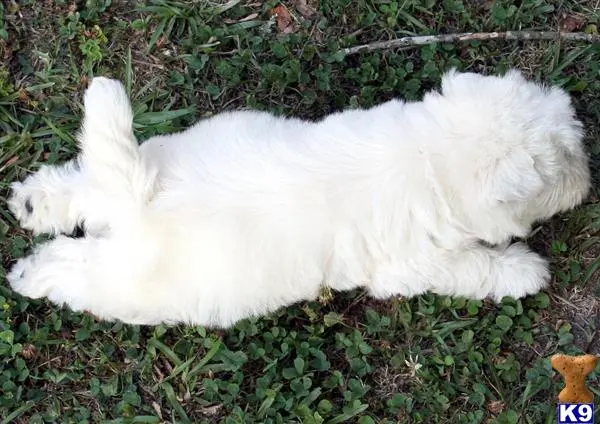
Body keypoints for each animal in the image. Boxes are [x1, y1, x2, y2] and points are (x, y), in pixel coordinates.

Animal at [6, 69, 591, 327]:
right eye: (565, 159)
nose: (589, 174)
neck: (430, 154)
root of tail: (139, 200)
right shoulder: (414, 266)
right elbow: (475, 269)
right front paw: (524, 271)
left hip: (149, 161)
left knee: (87, 184)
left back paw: (34, 201)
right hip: (123, 283)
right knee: (72, 269)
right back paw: (30, 274)